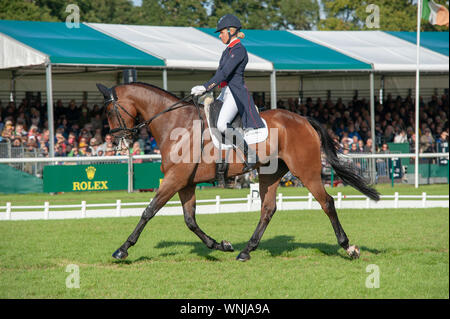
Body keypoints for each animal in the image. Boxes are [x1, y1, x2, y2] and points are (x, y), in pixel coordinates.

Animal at [96, 82, 380, 262]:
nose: (118, 143)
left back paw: (348, 247)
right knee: (268, 209)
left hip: (306, 172)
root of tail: (303, 119)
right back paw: (246, 251)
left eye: (109, 110)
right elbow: (190, 220)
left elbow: (149, 211)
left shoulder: (175, 179)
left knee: (327, 203)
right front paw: (221, 246)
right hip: (270, 174)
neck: (175, 124)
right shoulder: (185, 182)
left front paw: (122, 249)